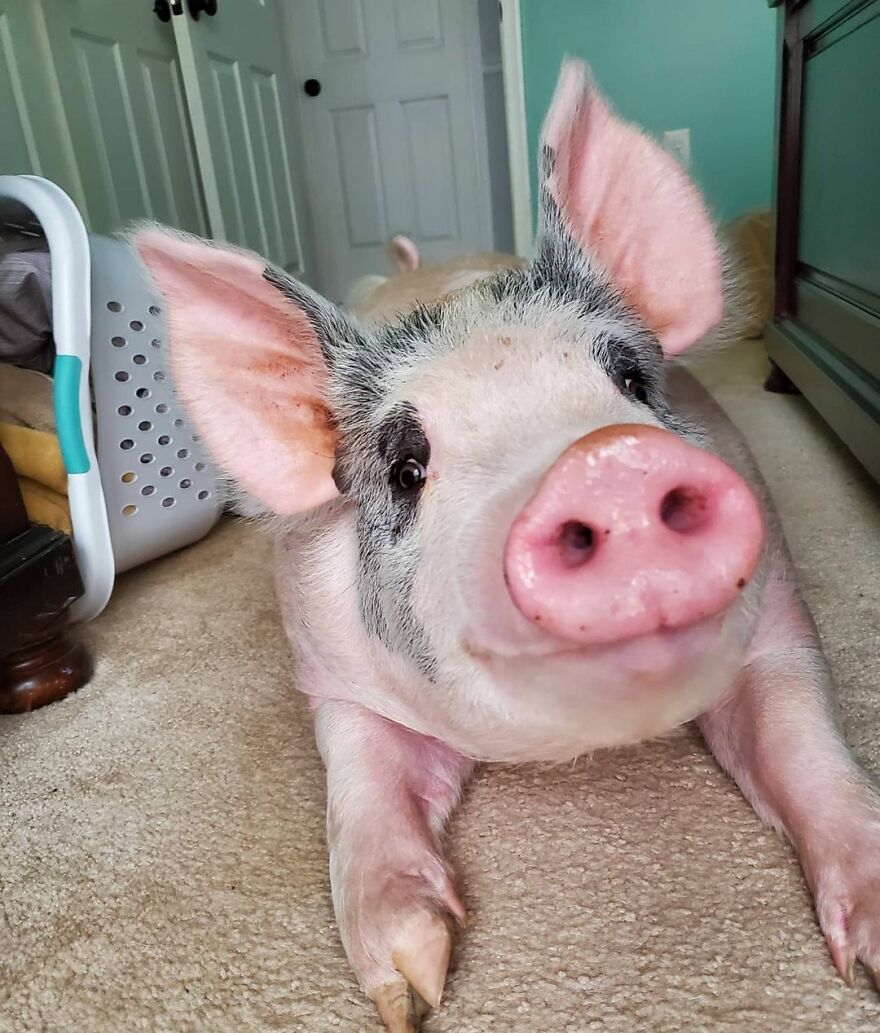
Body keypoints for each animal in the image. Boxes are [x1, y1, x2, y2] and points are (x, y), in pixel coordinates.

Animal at [133, 60, 880, 1033]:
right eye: (407, 466)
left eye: (631, 380)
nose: (604, 461)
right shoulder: (328, 675)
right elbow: (362, 786)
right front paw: (408, 994)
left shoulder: (779, 612)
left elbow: (801, 739)